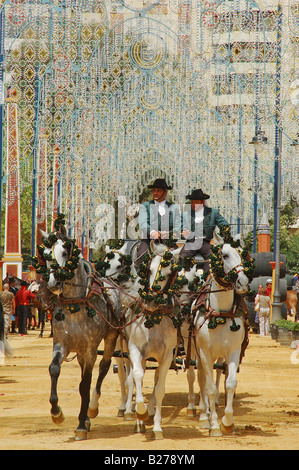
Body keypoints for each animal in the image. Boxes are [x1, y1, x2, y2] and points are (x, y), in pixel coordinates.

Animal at [37, 228, 122, 440]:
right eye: (46, 255)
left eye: (65, 252)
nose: (54, 282)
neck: (75, 303)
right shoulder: (61, 344)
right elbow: (54, 369)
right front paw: (56, 412)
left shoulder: (91, 349)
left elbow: (85, 384)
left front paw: (81, 425)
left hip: (111, 337)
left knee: (104, 367)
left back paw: (91, 409)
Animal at [192, 230, 251, 436]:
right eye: (224, 255)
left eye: (243, 254)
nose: (243, 282)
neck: (221, 313)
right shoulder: (204, 352)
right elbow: (208, 387)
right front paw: (214, 425)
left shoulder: (233, 351)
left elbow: (230, 383)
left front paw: (227, 422)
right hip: (197, 353)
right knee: (201, 378)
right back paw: (204, 414)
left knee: (217, 375)